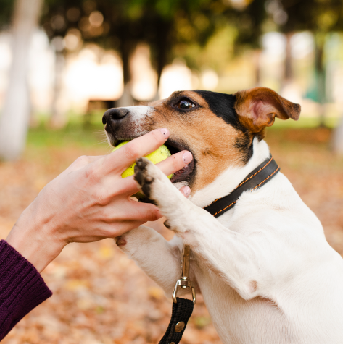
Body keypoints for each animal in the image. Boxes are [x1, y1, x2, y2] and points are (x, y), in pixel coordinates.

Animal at [103, 87, 343, 342]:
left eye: (185, 103)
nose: (108, 116)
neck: (235, 198)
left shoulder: (250, 262)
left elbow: (194, 216)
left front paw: (157, 179)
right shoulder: (174, 268)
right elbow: (146, 235)